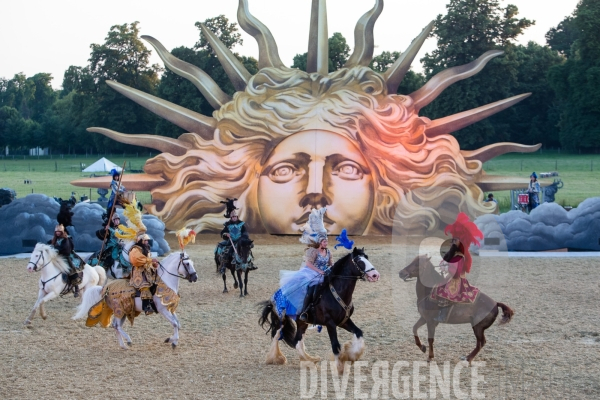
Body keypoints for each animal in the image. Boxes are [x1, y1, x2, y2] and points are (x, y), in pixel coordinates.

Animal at [258, 247, 380, 376]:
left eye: (367, 258)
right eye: (359, 261)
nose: (375, 275)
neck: (336, 292)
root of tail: (276, 294)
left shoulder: (343, 321)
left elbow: (359, 333)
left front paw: (351, 356)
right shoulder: (330, 323)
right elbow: (335, 345)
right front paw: (340, 367)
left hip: (302, 322)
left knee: (298, 341)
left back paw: (309, 360)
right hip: (281, 319)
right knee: (276, 335)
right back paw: (276, 358)